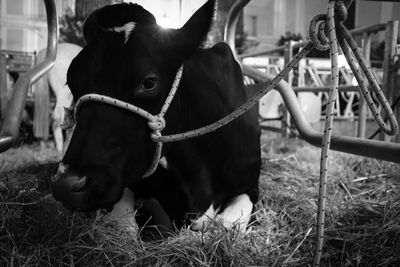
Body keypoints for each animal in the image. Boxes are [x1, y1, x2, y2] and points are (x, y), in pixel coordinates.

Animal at [51, 0, 260, 234]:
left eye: (149, 82)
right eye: (71, 82)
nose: (66, 185)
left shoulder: (250, 182)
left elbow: (232, 219)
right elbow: (124, 226)